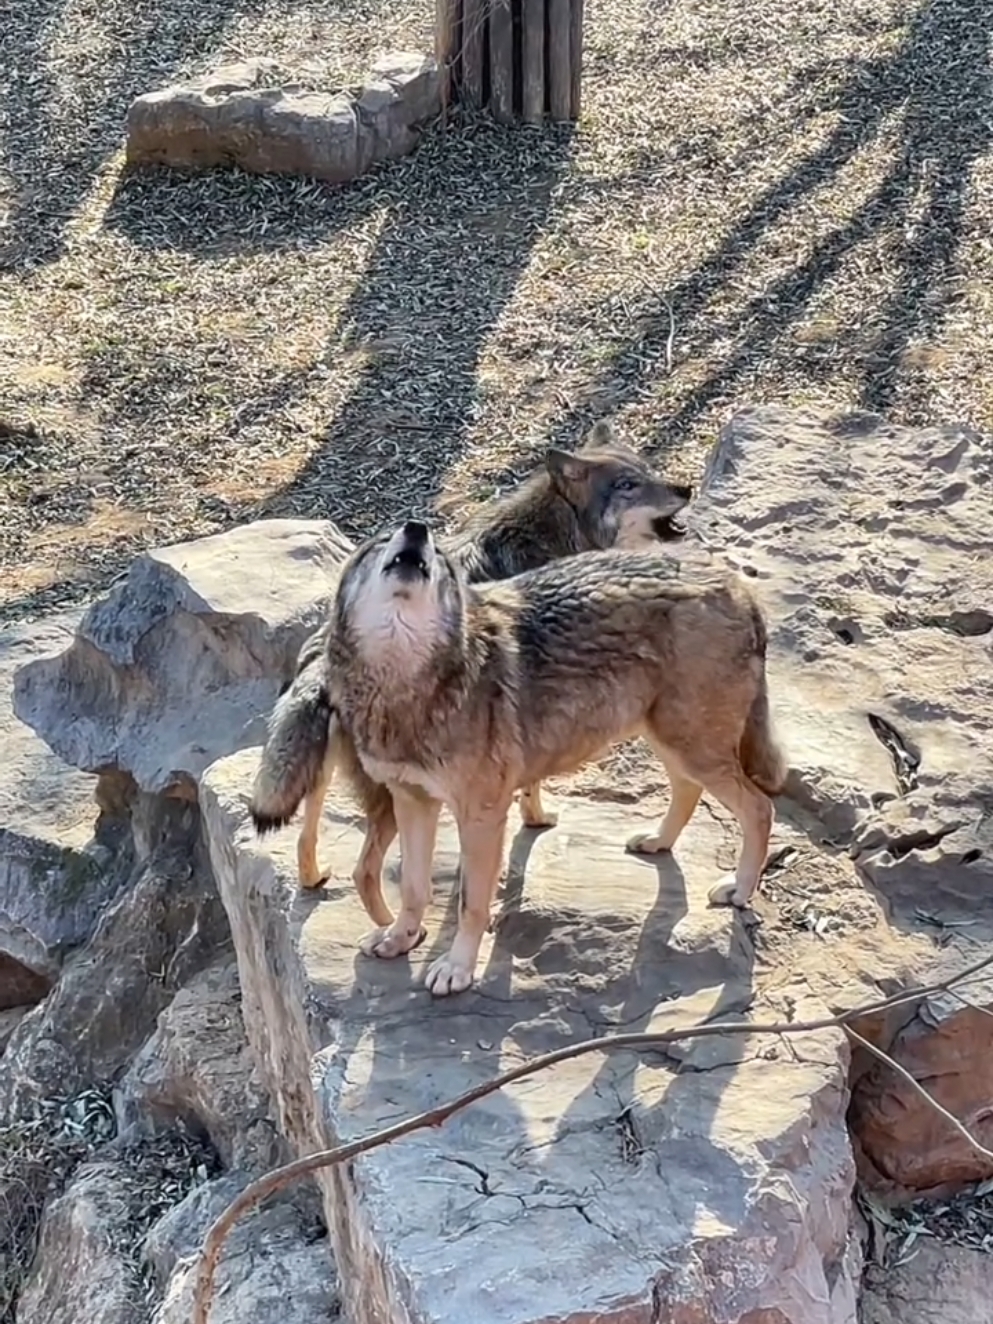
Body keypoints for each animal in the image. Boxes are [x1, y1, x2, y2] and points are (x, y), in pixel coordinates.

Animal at [248, 423, 693, 932]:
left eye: (648, 470)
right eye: (628, 485)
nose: (686, 488)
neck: (555, 536)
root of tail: (320, 658)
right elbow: (529, 786)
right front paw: (536, 818)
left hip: (316, 778)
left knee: (304, 839)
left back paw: (317, 880)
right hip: (394, 799)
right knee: (365, 870)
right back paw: (395, 930)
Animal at [323, 516, 789, 995]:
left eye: (439, 558)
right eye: (382, 540)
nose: (416, 528)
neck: (404, 684)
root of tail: (736, 583)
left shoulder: (482, 815)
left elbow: (471, 903)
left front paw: (457, 968)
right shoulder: (412, 801)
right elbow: (415, 889)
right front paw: (400, 937)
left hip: (690, 745)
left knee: (760, 808)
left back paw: (739, 889)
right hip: (670, 741)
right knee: (688, 790)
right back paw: (658, 841)